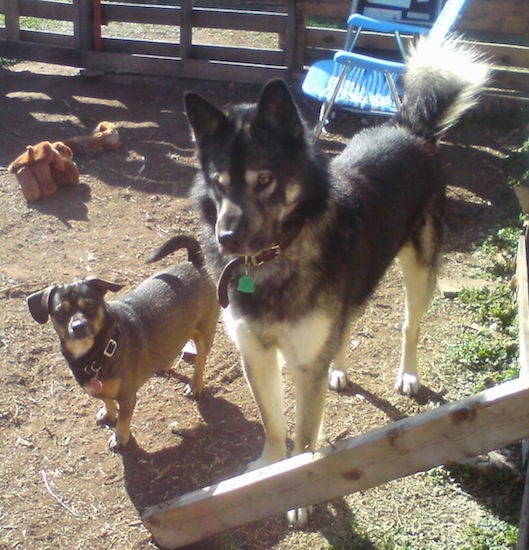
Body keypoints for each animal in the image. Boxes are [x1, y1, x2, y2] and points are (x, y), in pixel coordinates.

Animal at [27, 235, 218, 450]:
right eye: (60, 312)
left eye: (90, 305)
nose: (78, 326)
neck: (102, 348)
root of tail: (195, 263)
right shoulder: (102, 389)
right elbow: (106, 400)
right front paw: (108, 413)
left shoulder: (127, 398)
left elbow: (124, 419)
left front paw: (120, 437)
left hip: (204, 333)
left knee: (200, 361)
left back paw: (195, 385)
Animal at [184, 37, 488, 520]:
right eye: (219, 182)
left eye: (265, 179)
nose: (227, 238)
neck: (273, 257)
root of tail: (411, 129)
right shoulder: (257, 354)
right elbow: (273, 424)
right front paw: (267, 470)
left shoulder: (304, 364)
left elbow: (304, 439)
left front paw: (298, 495)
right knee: (347, 327)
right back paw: (341, 370)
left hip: (418, 270)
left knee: (409, 325)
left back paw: (408, 374)